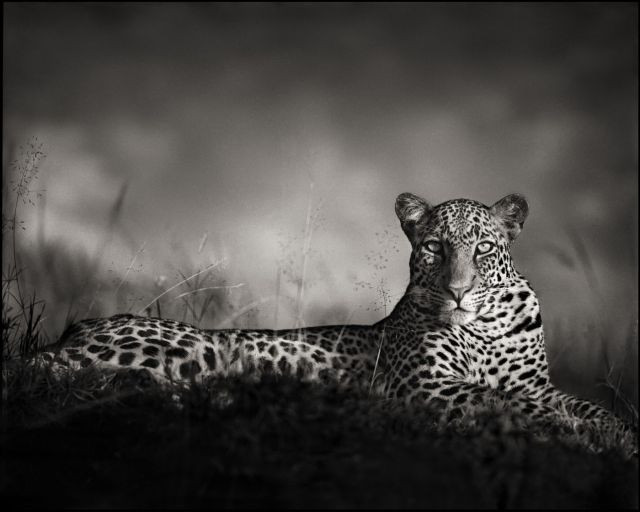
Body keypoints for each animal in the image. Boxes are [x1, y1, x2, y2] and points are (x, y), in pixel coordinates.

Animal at [40, 192, 636, 444]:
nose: (459, 291)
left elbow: (576, 403)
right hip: (195, 347)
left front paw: (612, 427)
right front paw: (574, 429)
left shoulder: (537, 383)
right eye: (435, 248)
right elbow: (500, 400)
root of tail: (72, 330)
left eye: (484, 248)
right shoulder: (427, 385)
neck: (484, 326)